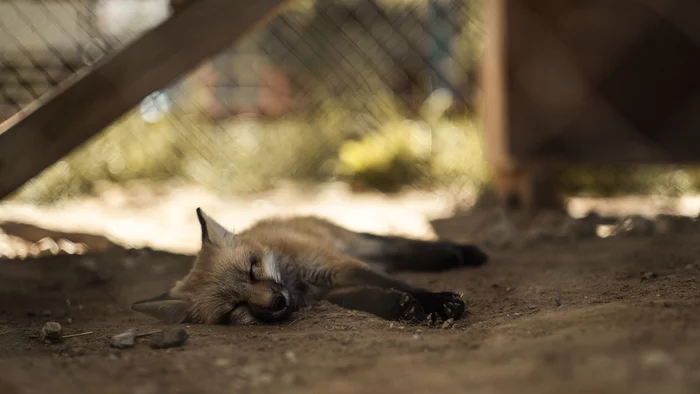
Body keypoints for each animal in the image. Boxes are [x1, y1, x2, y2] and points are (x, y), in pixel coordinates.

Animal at [131, 209, 486, 326]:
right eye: (234, 308)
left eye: (252, 269)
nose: (277, 302)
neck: (299, 283)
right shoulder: (334, 290)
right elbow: (373, 298)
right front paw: (403, 308)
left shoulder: (338, 267)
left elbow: (405, 284)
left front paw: (438, 301)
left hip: (359, 247)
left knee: (399, 247)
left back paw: (459, 253)